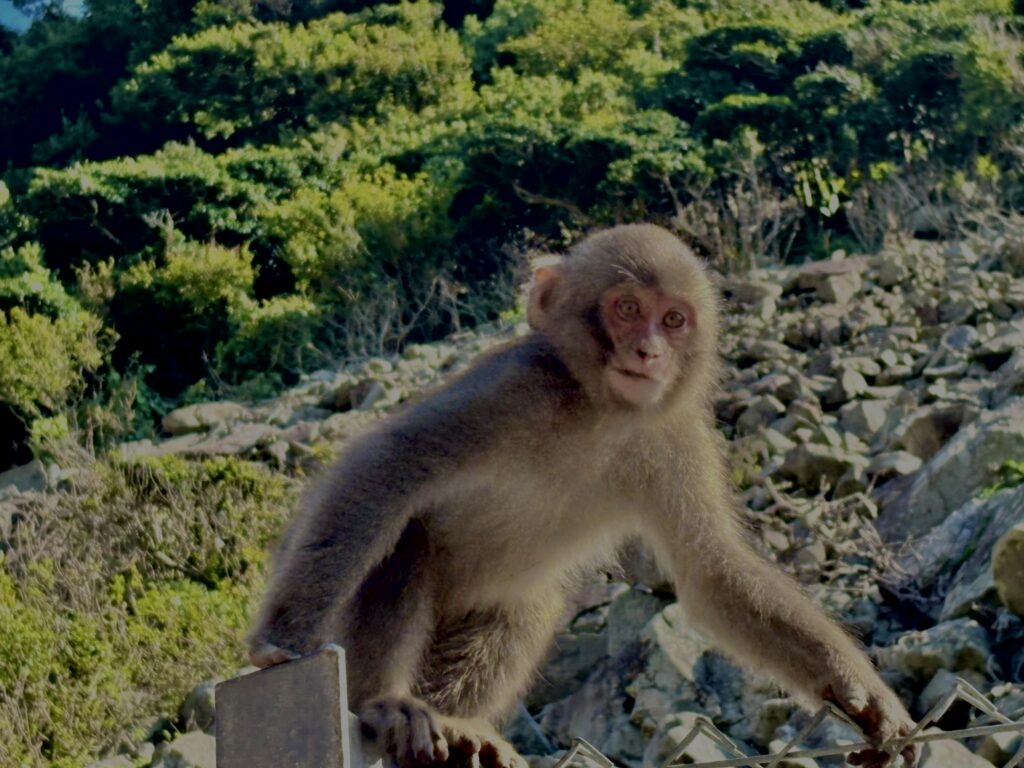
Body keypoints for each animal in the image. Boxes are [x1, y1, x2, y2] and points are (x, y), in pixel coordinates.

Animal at [248, 224, 918, 768]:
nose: (648, 352)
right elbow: (390, 463)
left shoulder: (676, 439)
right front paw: (282, 638)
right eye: (626, 308)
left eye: (673, 320)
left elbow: (711, 569)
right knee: (406, 540)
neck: (599, 411)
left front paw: (861, 694)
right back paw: (383, 703)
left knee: (525, 606)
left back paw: (461, 726)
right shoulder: (517, 384)